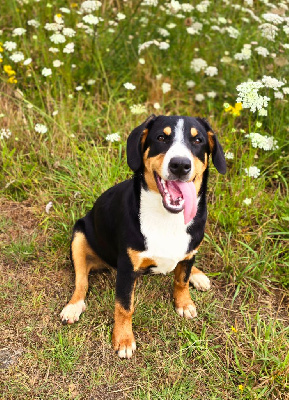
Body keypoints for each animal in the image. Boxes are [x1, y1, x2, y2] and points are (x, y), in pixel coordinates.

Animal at [60, 115, 225, 360]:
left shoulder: (188, 251)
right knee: (81, 280)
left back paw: (197, 275)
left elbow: (181, 280)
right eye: (161, 137)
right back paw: (73, 306)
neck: (167, 217)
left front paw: (184, 302)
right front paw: (123, 339)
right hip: (79, 236)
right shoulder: (127, 269)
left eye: (198, 140)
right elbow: (124, 306)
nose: (180, 165)